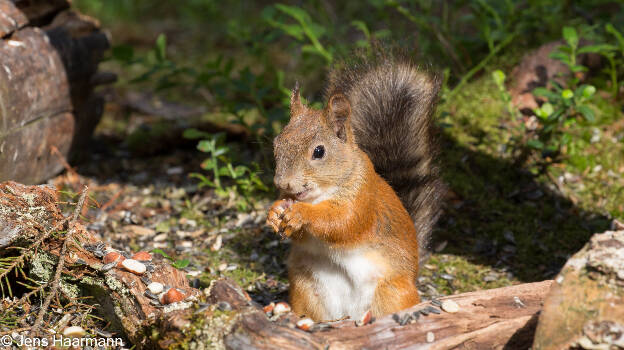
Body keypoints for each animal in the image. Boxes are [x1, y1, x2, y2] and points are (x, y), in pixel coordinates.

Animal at [266, 55, 442, 322]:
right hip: (306, 286)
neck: (319, 196)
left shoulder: (363, 197)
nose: (283, 183)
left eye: (319, 151)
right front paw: (274, 212)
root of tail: (350, 314)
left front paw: (302, 214)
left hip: (391, 292)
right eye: (277, 144)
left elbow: (343, 223)